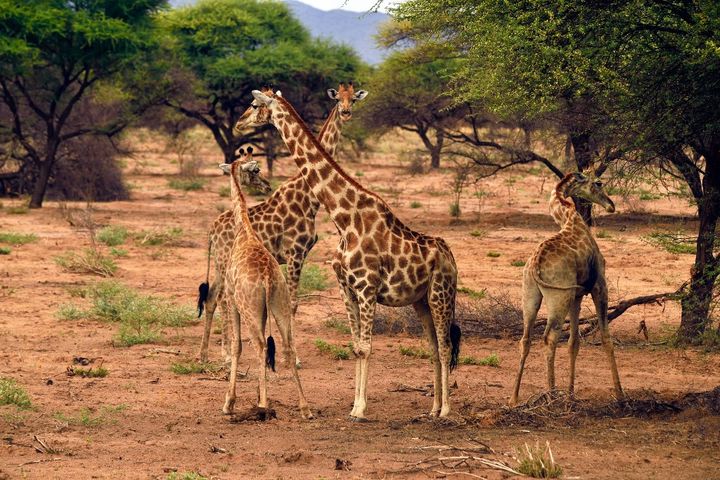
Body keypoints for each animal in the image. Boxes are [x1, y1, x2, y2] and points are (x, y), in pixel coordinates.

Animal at [198, 83, 368, 364]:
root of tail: (212, 230)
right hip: (223, 263)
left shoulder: (299, 255)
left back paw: (210, 354)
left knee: (215, 298)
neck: (309, 196)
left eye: (353, 99)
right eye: (339, 99)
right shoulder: (294, 253)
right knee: (217, 298)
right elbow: (293, 303)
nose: (346, 113)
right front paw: (294, 358)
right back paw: (220, 354)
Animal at [217, 152, 312, 418]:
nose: (267, 186)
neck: (244, 231)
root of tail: (268, 278)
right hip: (280, 304)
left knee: (259, 345)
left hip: (250, 308)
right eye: (256, 170)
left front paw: (229, 402)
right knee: (288, 347)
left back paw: (262, 405)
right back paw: (305, 407)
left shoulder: (232, 299)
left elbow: (237, 346)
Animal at [235, 88, 462, 418]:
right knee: (433, 346)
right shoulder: (346, 287)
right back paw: (431, 409)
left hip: (440, 294)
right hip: (420, 300)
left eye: (253, 105)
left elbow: (365, 347)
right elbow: (355, 346)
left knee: (445, 346)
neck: (343, 218)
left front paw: (360, 409)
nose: (238, 124)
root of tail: (451, 259)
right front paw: (354, 404)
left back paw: (445, 410)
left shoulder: (367, 287)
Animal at [512, 172, 624, 404]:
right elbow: (606, 338)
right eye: (598, 183)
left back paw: (514, 398)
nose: (611, 205)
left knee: (526, 339)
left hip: (530, 295)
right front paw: (620, 394)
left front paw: (572, 394)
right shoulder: (600, 286)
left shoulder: (577, 296)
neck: (569, 217)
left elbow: (574, 343)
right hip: (558, 297)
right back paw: (552, 395)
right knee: (549, 338)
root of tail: (535, 267)